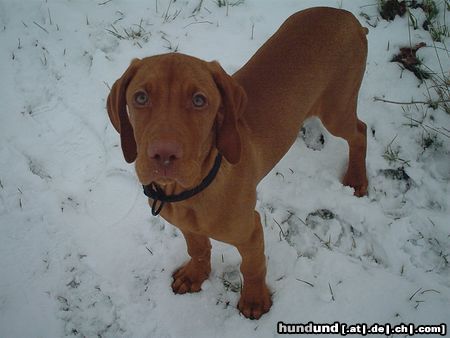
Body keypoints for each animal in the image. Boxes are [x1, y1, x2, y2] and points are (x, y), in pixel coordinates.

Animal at [106, 7, 370, 320]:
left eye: (199, 100)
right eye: (140, 97)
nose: (163, 155)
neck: (190, 192)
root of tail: (350, 18)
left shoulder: (251, 230)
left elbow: (253, 267)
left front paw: (255, 300)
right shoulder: (188, 227)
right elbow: (197, 249)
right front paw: (195, 275)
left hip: (336, 109)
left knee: (360, 131)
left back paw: (357, 178)